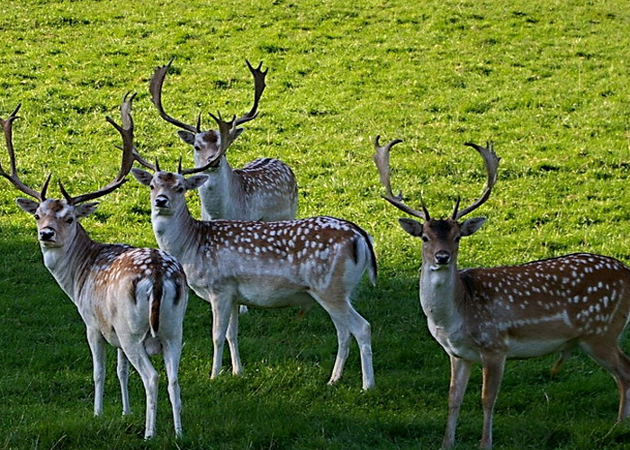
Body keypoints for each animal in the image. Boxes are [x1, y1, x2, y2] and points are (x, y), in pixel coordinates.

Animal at [0, 96, 188, 438]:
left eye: (69, 218)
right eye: (38, 215)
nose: (46, 234)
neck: (78, 276)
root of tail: (157, 274)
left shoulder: (92, 323)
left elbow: (99, 371)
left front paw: (98, 414)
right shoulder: (115, 331)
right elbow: (121, 369)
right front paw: (126, 412)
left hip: (133, 331)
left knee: (152, 377)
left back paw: (150, 433)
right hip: (173, 328)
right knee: (173, 377)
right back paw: (180, 432)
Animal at [128, 114, 376, 388]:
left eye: (180, 187)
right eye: (152, 185)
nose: (161, 201)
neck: (192, 246)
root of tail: (361, 237)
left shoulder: (220, 287)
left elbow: (216, 335)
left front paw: (214, 375)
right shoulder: (234, 294)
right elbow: (231, 334)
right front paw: (237, 371)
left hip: (329, 287)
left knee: (362, 327)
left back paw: (367, 385)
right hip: (339, 291)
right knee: (343, 331)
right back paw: (333, 379)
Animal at [372, 136, 630, 446]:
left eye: (457, 237)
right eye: (424, 237)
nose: (442, 257)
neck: (456, 315)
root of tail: (626, 272)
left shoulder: (495, 346)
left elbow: (487, 399)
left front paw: (485, 443)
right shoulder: (457, 354)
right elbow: (453, 399)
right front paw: (447, 443)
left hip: (602, 331)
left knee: (625, 371)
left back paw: (618, 428)